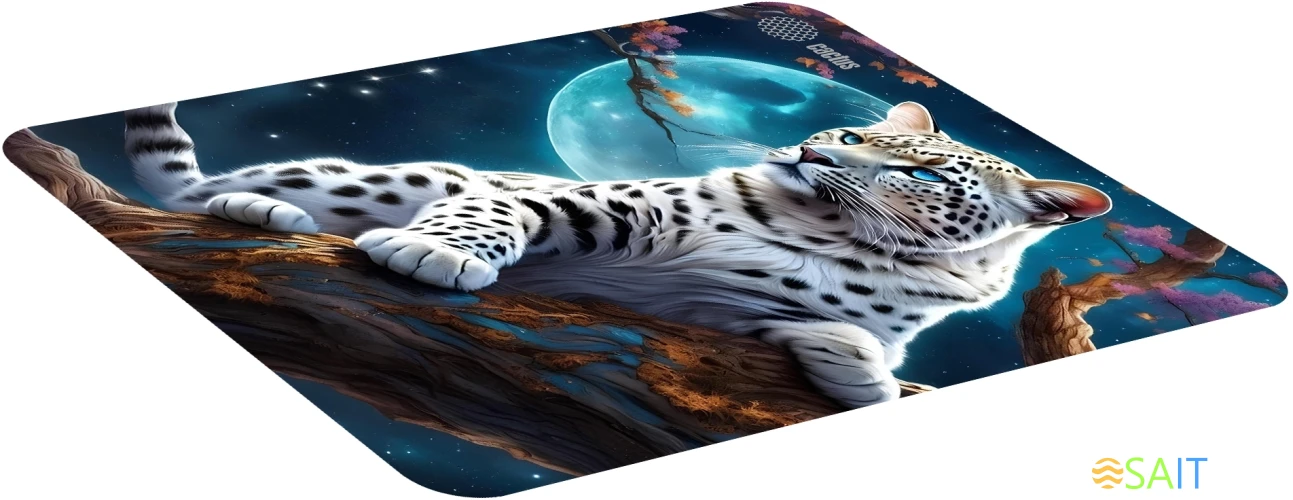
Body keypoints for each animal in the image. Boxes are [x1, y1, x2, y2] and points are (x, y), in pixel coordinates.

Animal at [123, 101, 1111, 409]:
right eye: (850, 133)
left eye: (918, 169)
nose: (809, 150)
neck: (824, 233)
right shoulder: (595, 205)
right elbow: (502, 208)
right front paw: (431, 252)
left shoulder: (730, 315)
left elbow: (839, 334)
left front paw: (864, 374)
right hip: (382, 175)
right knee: (192, 194)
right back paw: (260, 206)